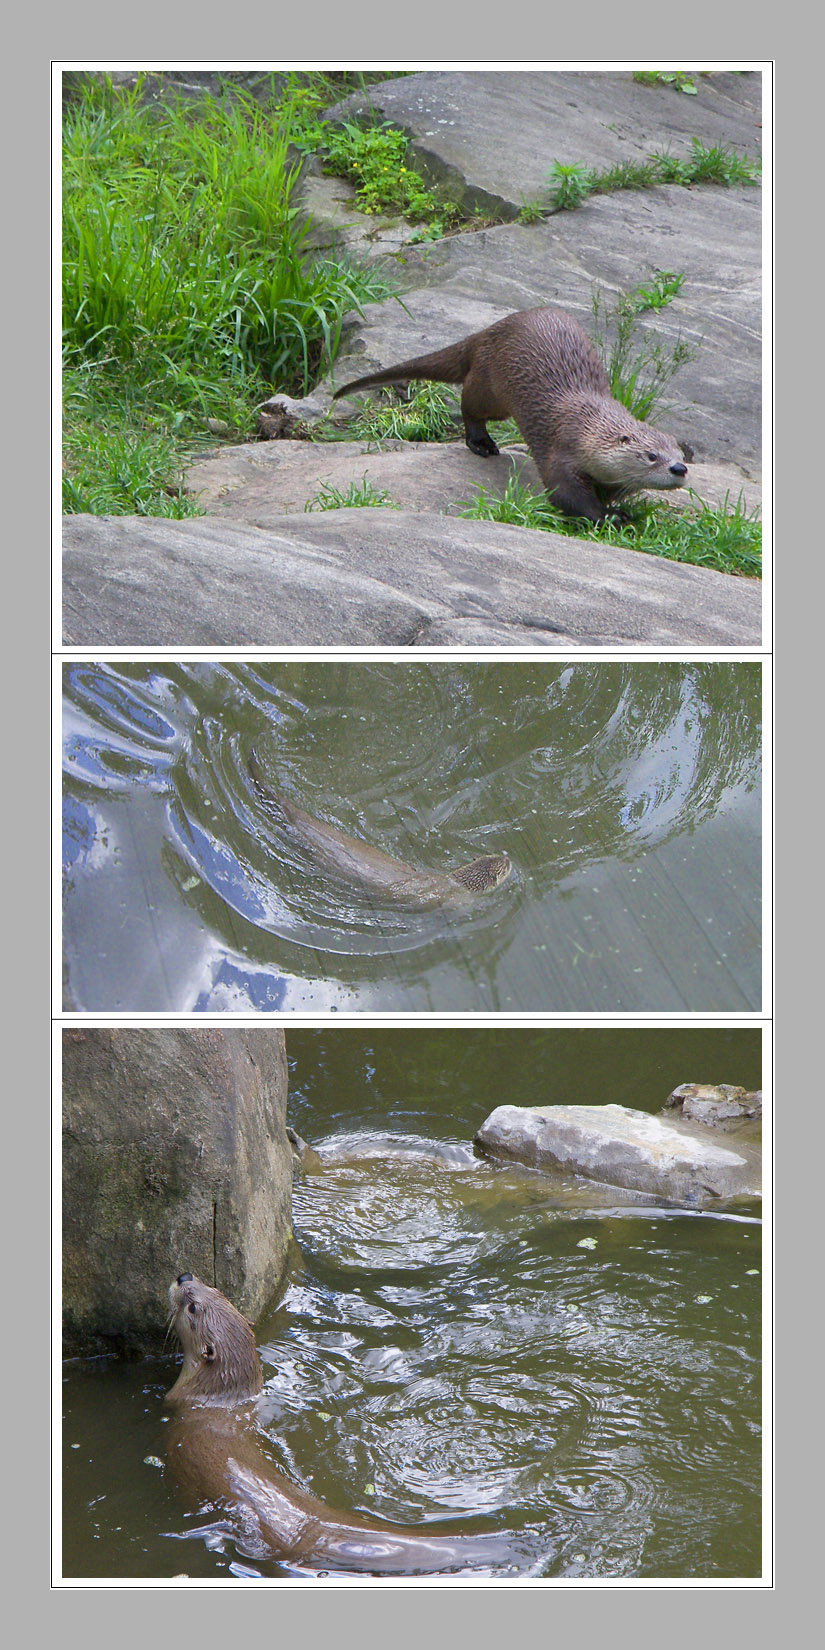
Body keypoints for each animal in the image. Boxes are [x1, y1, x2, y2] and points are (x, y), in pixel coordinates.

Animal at [333, 305, 689, 524]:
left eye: (681, 454)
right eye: (651, 456)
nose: (680, 468)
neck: (589, 426)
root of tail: (486, 331)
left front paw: (617, 508)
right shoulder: (563, 449)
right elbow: (566, 494)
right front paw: (611, 517)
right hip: (489, 387)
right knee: (468, 404)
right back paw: (481, 444)